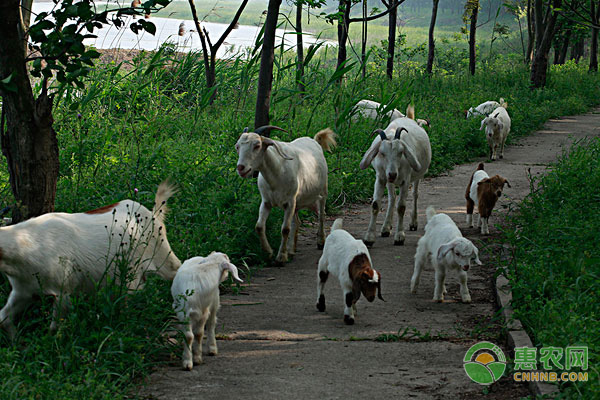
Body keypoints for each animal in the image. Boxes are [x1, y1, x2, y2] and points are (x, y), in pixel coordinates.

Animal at [1, 181, 182, 338]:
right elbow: (3, 317)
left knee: (178, 270)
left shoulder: (63, 290)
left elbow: (55, 327)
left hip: (163, 256)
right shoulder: (24, 290)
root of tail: (153, 214)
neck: (28, 245)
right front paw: (15, 340)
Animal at [236, 123, 338, 264]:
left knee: (321, 216)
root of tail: (314, 140)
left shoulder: (289, 202)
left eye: (257, 145)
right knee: (297, 222)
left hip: (322, 192)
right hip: (297, 201)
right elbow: (259, 226)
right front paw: (269, 252)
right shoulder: (266, 202)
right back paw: (291, 250)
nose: (241, 168)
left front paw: (281, 257)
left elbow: (285, 229)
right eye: (237, 146)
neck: (277, 173)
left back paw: (320, 242)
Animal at [358, 108, 434, 248]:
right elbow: (375, 205)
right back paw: (386, 228)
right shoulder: (380, 178)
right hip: (389, 181)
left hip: (417, 176)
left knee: (415, 194)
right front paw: (369, 238)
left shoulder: (405, 180)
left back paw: (413, 223)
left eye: (401, 152)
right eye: (382, 153)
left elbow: (401, 207)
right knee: (392, 197)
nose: (393, 174)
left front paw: (399, 237)